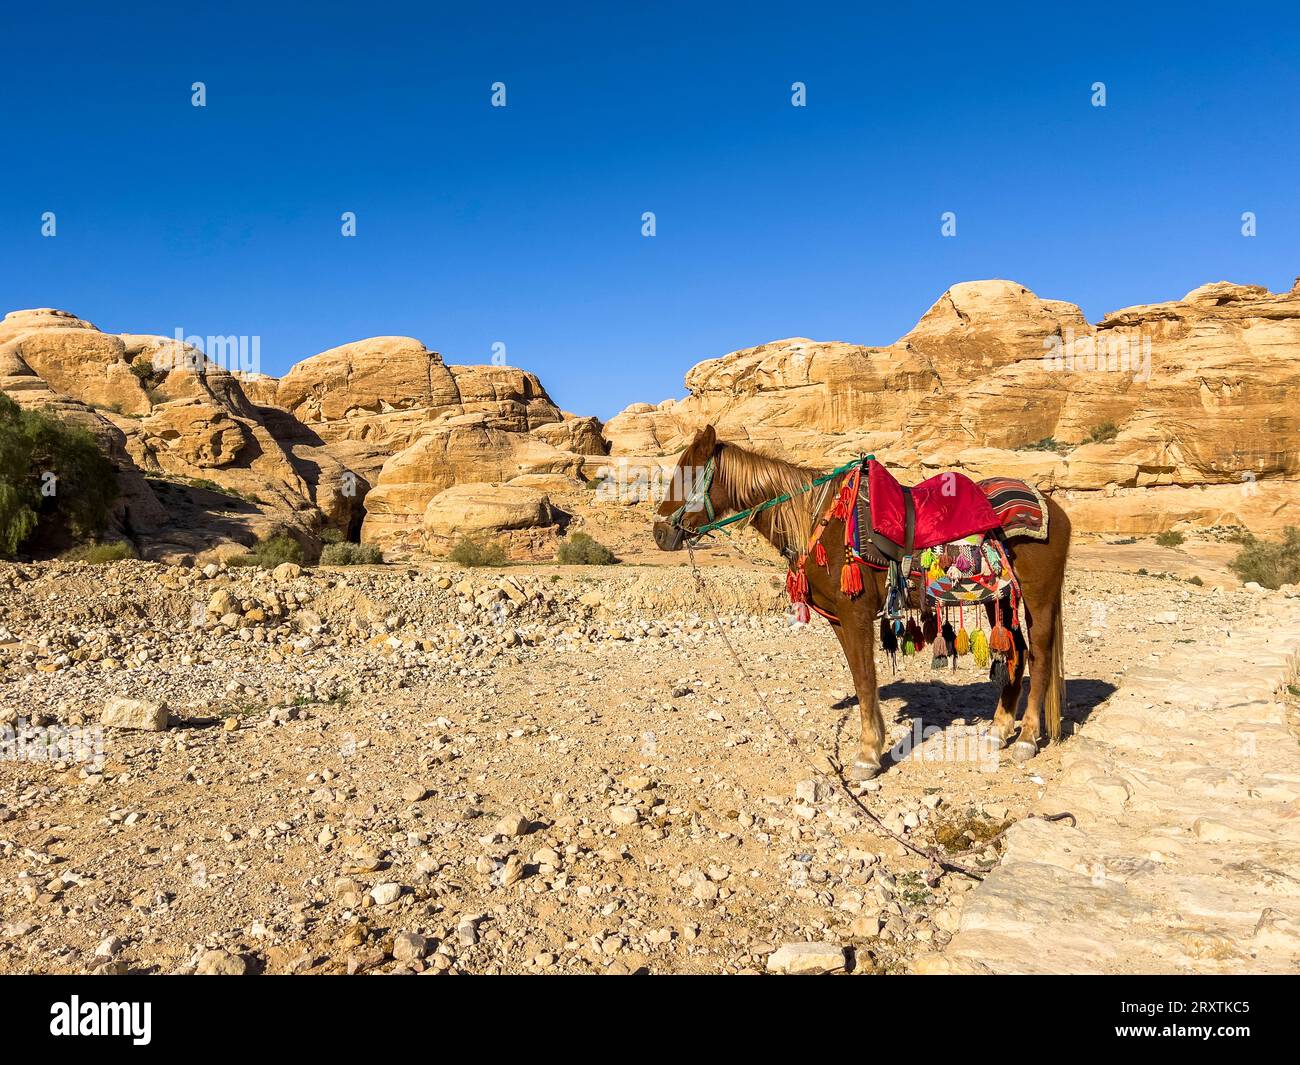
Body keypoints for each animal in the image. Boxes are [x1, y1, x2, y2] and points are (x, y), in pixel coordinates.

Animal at [655, 423, 1071, 785]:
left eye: (686, 476)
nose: (659, 533)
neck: (818, 520)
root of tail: (1054, 509)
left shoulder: (855, 613)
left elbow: (867, 678)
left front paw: (868, 756)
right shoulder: (839, 619)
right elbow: (859, 677)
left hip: (1037, 596)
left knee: (1039, 654)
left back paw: (1027, 738)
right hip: (999, 599)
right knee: (1016, 652)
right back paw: (999, 731)